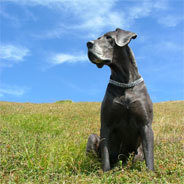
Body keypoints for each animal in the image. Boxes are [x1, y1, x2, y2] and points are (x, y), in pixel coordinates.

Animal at [86, 28, 154, 172]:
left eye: (108, 38)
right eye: (98, 38)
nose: (88, 44)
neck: (125, 82)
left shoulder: (146, 125)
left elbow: (149, 155)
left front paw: (151, 173)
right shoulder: (105, 124)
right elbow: (105, 154)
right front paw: (106, 173)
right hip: (92, 137)